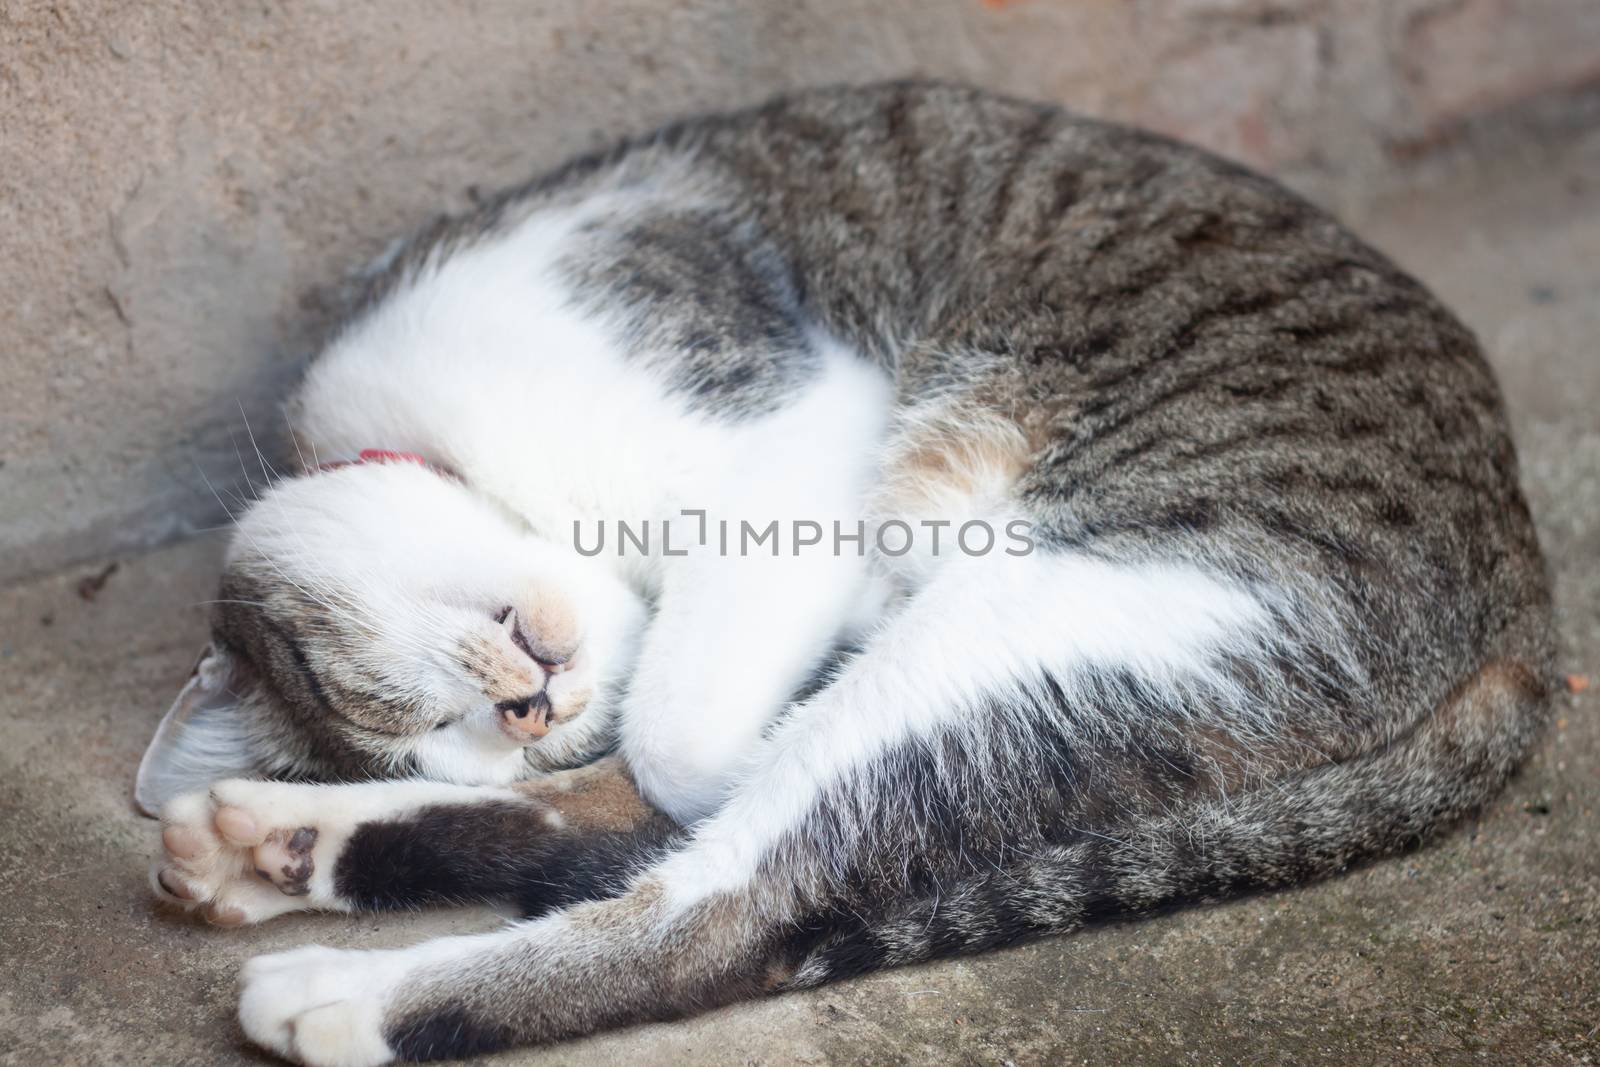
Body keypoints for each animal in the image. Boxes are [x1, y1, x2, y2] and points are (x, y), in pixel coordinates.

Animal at [134, 79, 1548, 1062]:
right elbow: (647, 760)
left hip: (1068, 591)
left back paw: (340, 985)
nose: (530, 704)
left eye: (410, 700)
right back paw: (277, 843)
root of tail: (1521, 601)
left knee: (722, 904)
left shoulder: (793, 423)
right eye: (452, 730)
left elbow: (686, 736)